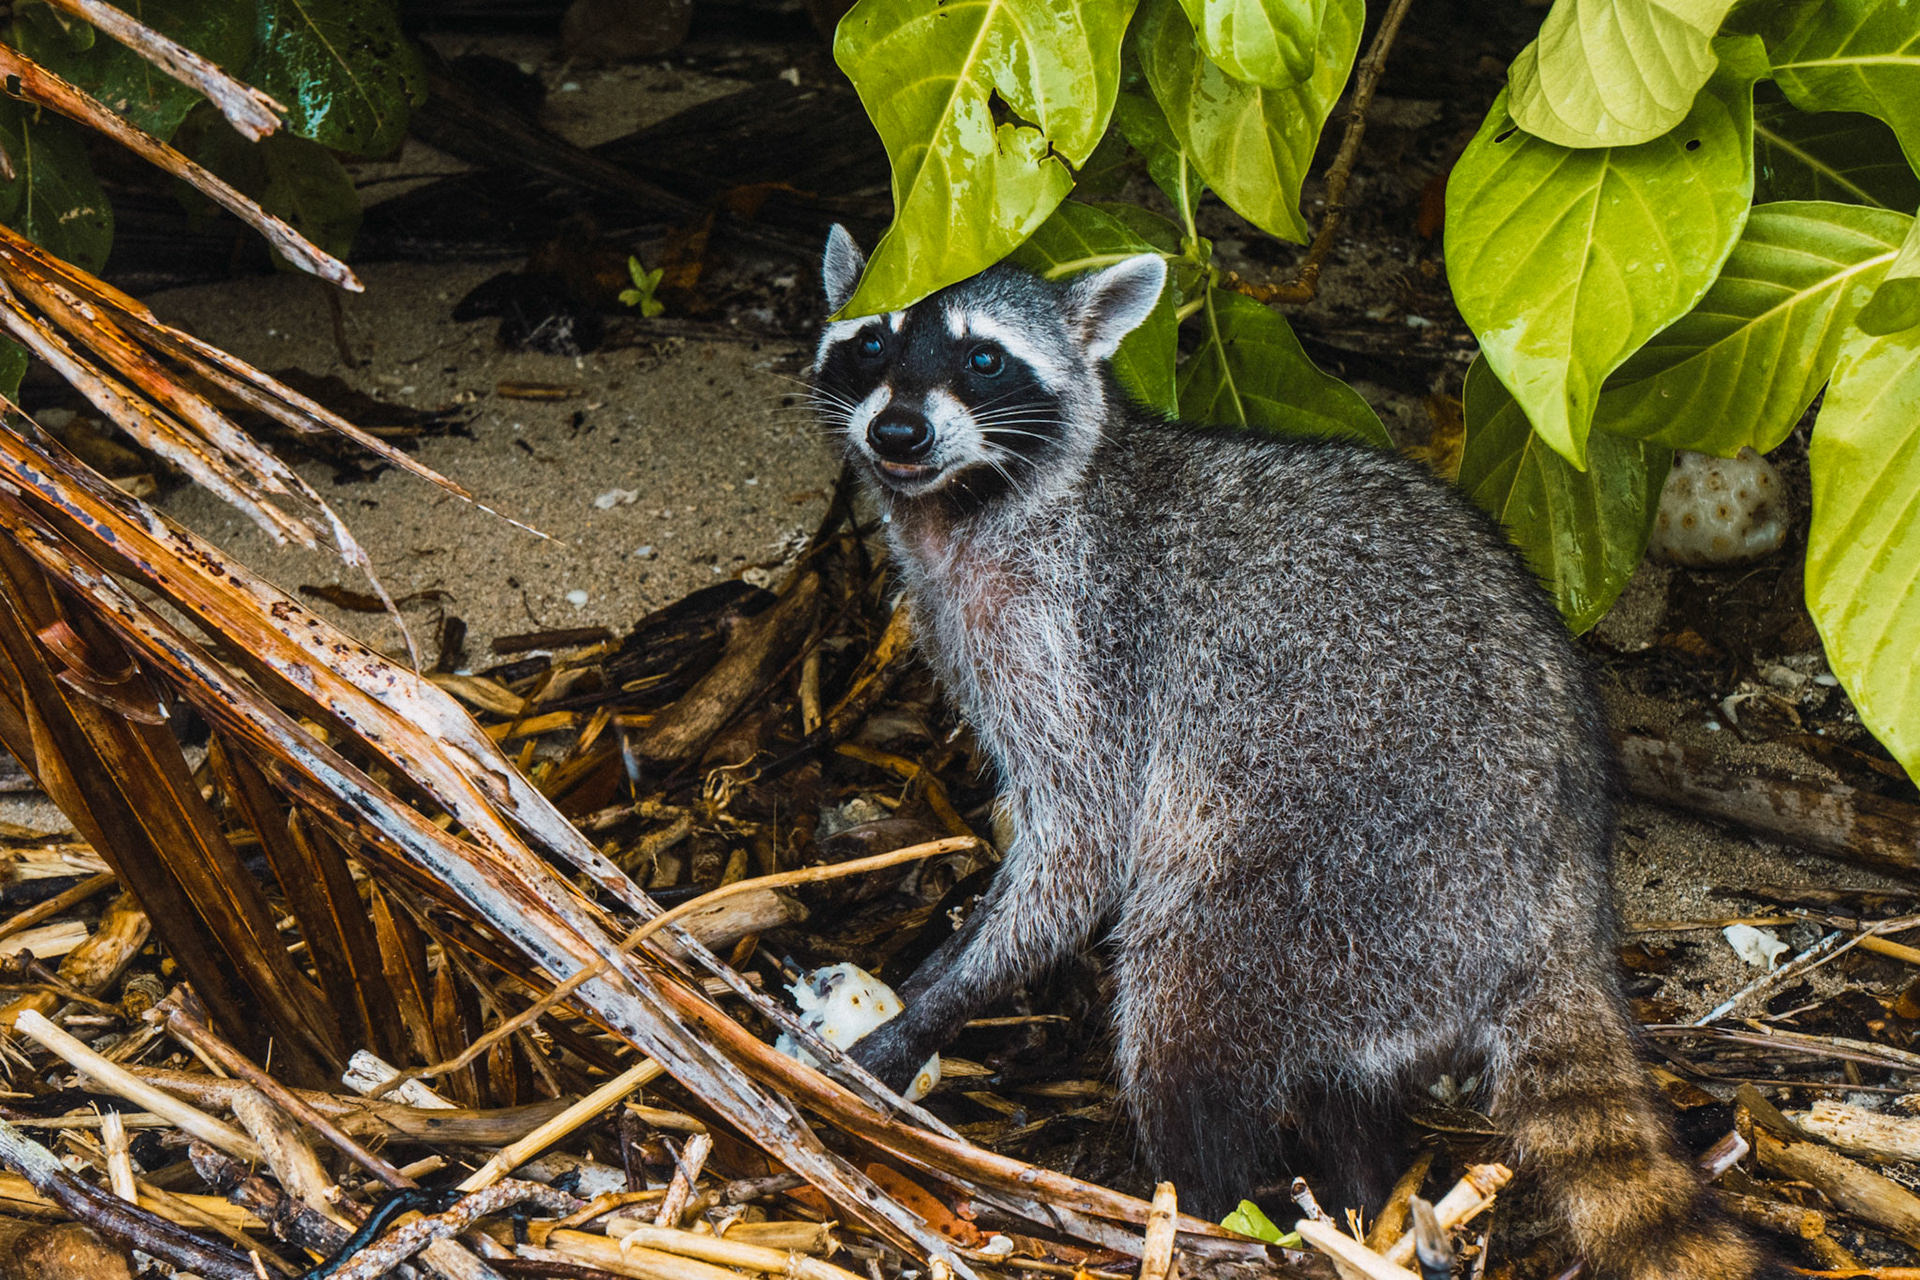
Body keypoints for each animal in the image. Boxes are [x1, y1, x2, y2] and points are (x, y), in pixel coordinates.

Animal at [811, 226, 1784, 1279]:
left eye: (984, 359)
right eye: (872, 342)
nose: (898, 433)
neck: (968, 508)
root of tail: (1564, 908)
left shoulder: (1089, 642)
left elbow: (1079, 852)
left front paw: (937, 1003)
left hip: (1349, 881)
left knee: (1184, 1004)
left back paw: (1207, 1200)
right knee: (1336, 1088)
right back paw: (1364, 1195)